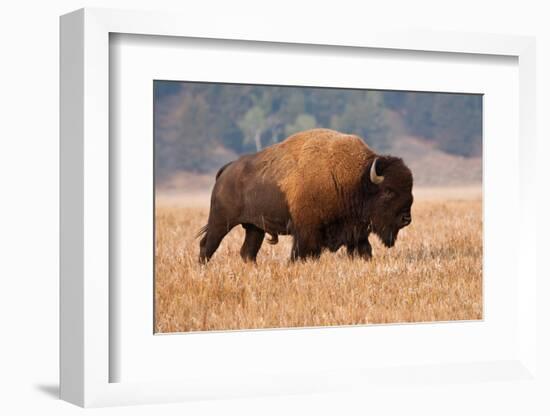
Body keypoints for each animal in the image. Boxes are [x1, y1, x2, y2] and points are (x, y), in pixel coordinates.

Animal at [198, 128, 414, 262]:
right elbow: (301, 254)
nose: (406, 219)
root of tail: (226, 170)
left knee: (247, 253)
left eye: (409, 189)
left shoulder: (356, 233)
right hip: (221, 221)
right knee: (207, 245)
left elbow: (365, 251)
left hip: (254, 227)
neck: (356, 179)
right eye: (388, 191)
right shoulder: (307, 232)